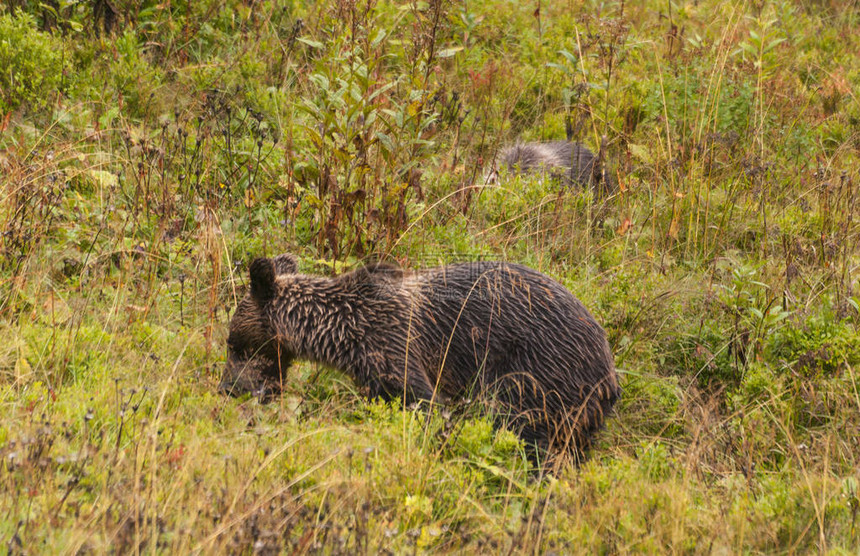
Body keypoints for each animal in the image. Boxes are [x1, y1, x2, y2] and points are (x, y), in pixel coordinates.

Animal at [220, 254, 620, 462]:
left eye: (233, 344)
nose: (228, 388)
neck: (340, 332)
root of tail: (610, 375)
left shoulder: (394, 344)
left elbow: (423, 404)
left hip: (540, 371)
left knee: (522, 428)